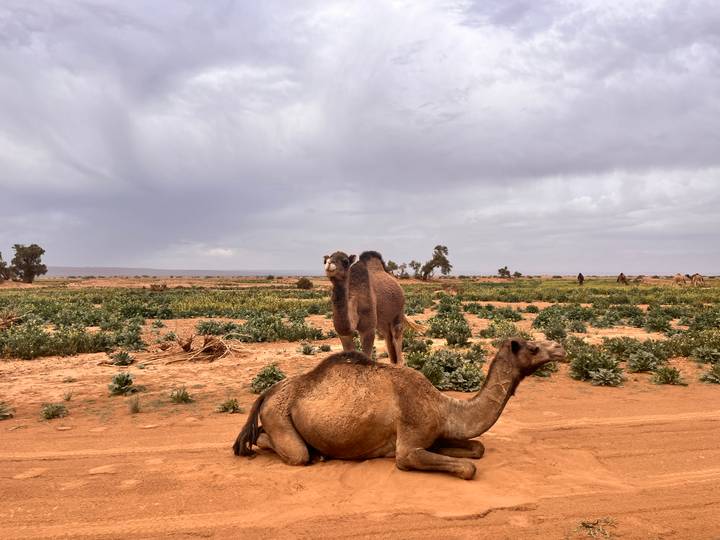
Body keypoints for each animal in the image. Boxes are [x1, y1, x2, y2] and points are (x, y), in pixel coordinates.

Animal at [233, 339, 565, 479]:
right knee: (290, 450)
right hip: (278, 415)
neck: (443, 406)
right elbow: (468, 468)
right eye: (533, 347)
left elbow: (478, 448)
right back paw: (310, 453)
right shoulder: (408, 445)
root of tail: (267, 392)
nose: (560, 347)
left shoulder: (432, 434)